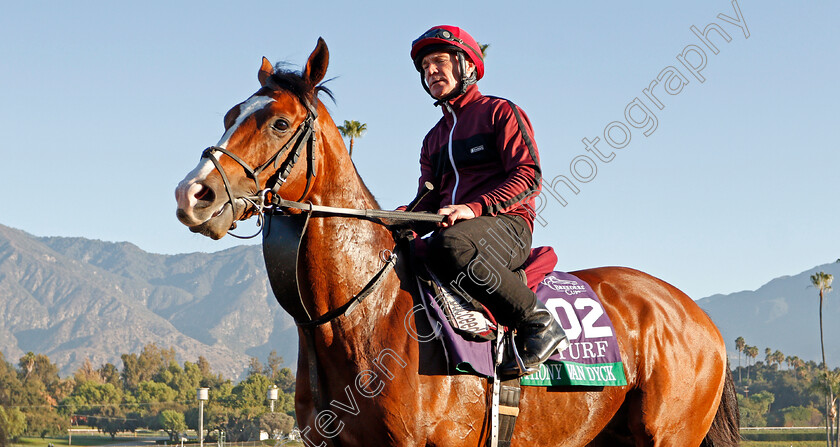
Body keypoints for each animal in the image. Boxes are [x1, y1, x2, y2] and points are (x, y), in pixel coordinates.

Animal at [174, 39, 740, 447]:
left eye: (279, 122)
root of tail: (695, 313)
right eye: (229, 115)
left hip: (669, 435)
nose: (193, 193)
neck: (362, 312)